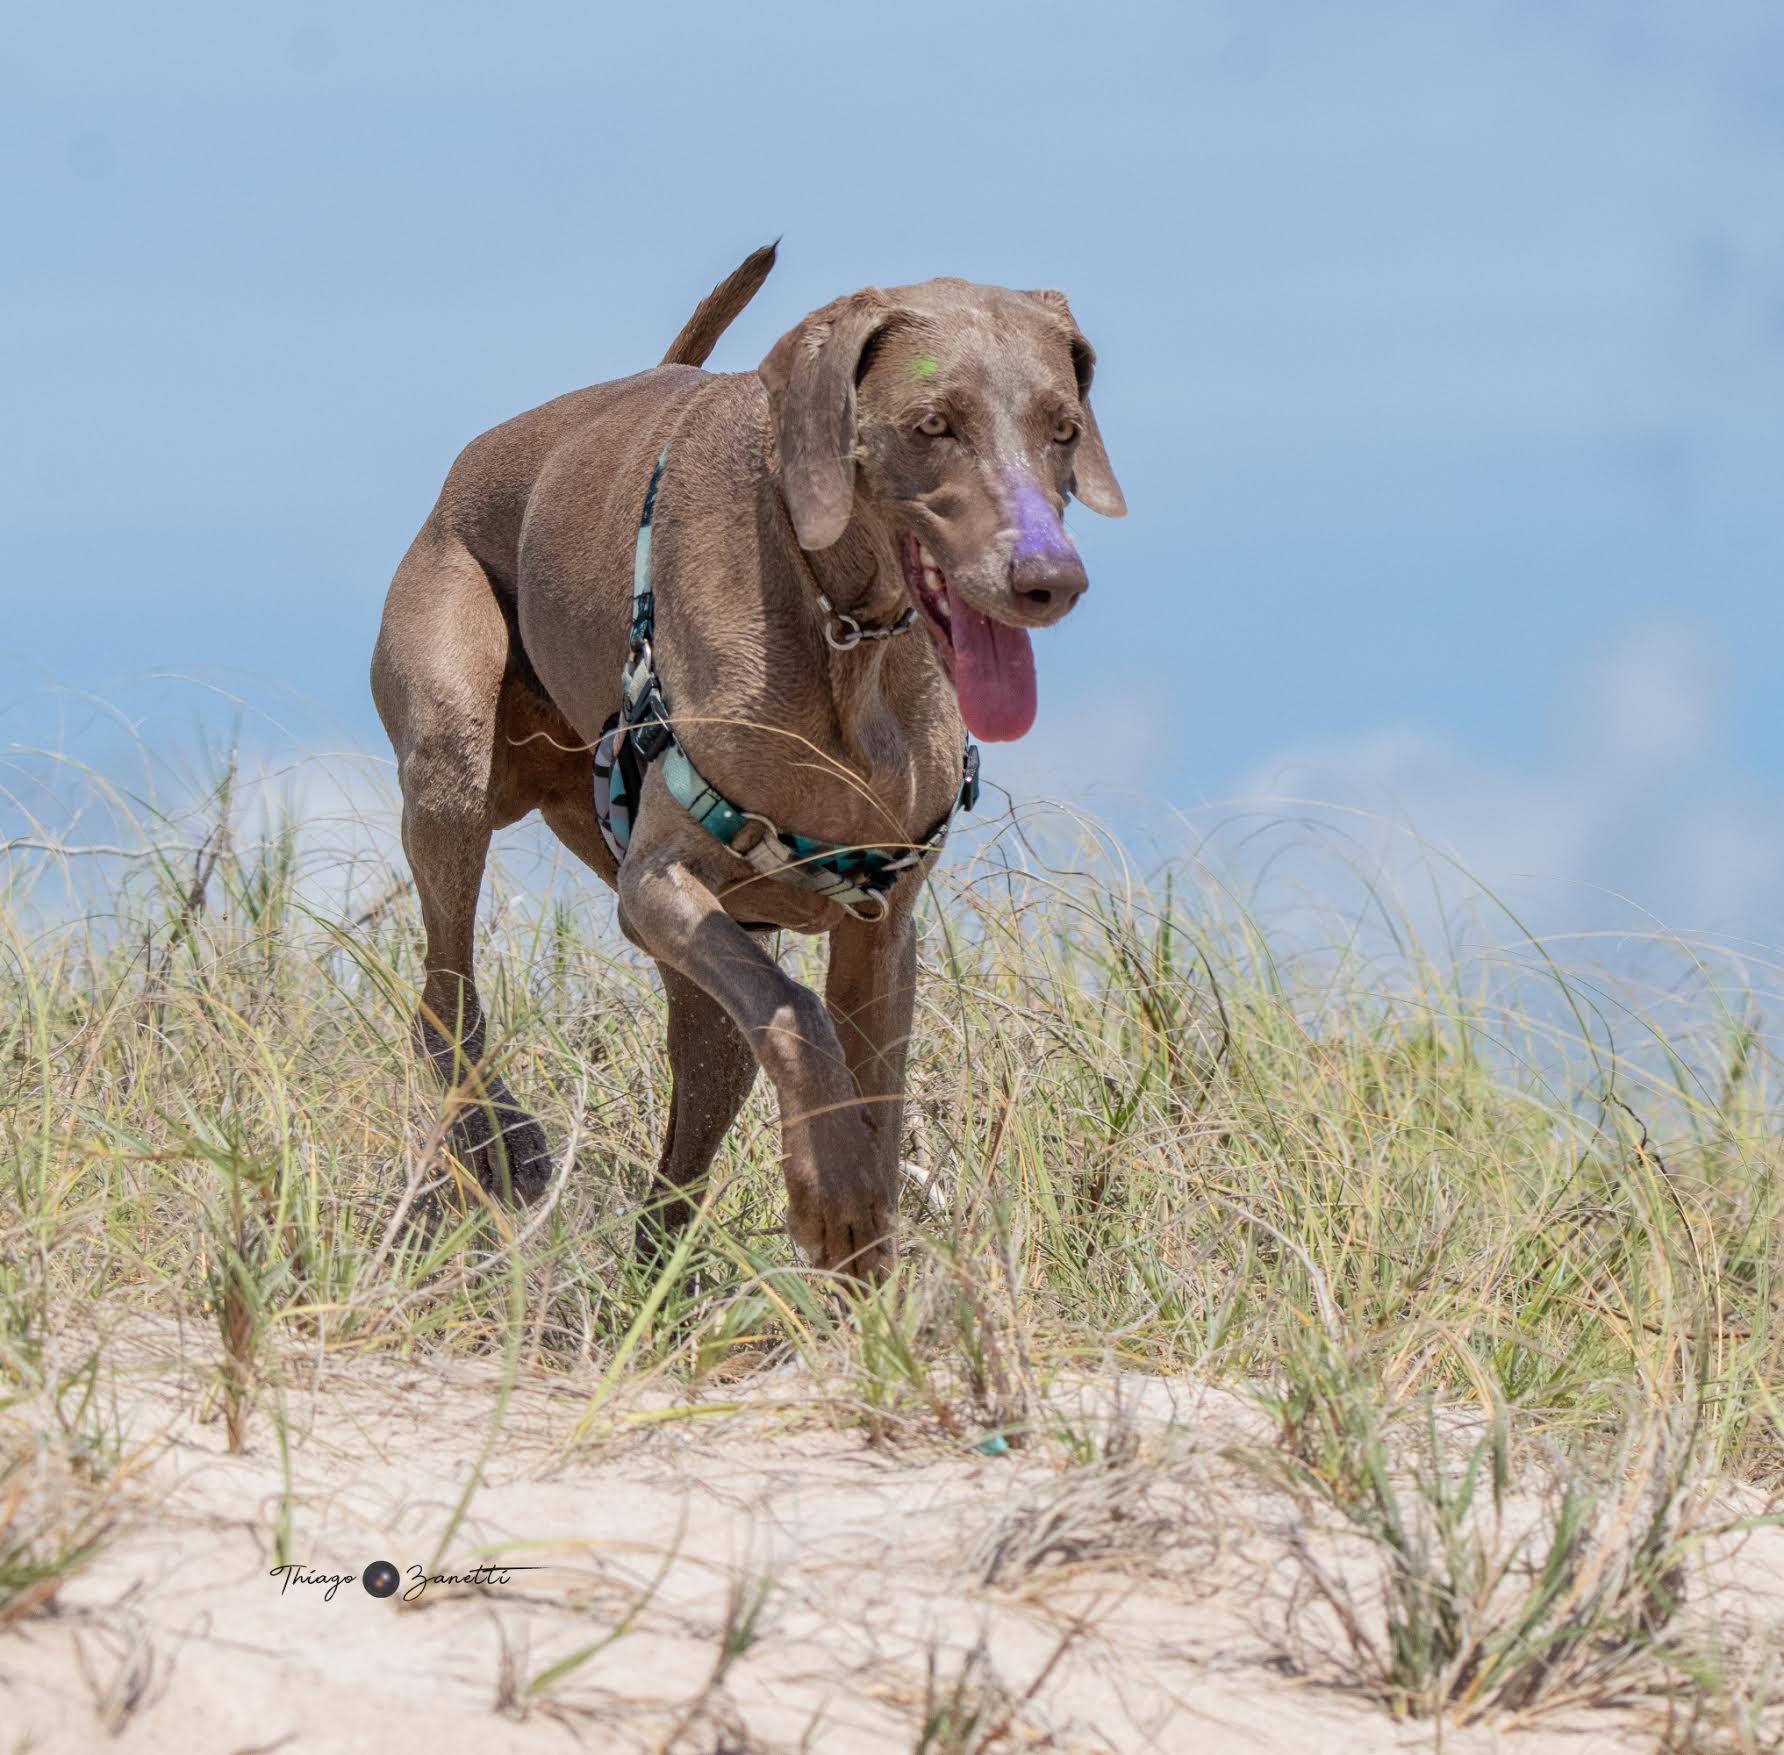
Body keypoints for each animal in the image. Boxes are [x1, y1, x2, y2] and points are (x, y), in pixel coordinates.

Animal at [369, 242, 1120, 1277]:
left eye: (1063, 428)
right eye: (933, 425)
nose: (1052, 580)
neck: (843, 631)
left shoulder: (883, 933)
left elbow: (867, 1092)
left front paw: (867, 1256)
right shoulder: (657, 881)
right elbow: (795, 1010)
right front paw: (835, 1197)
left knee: (691, 1125)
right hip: (452, 747)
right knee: (444, 998)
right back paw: (501, 1144)